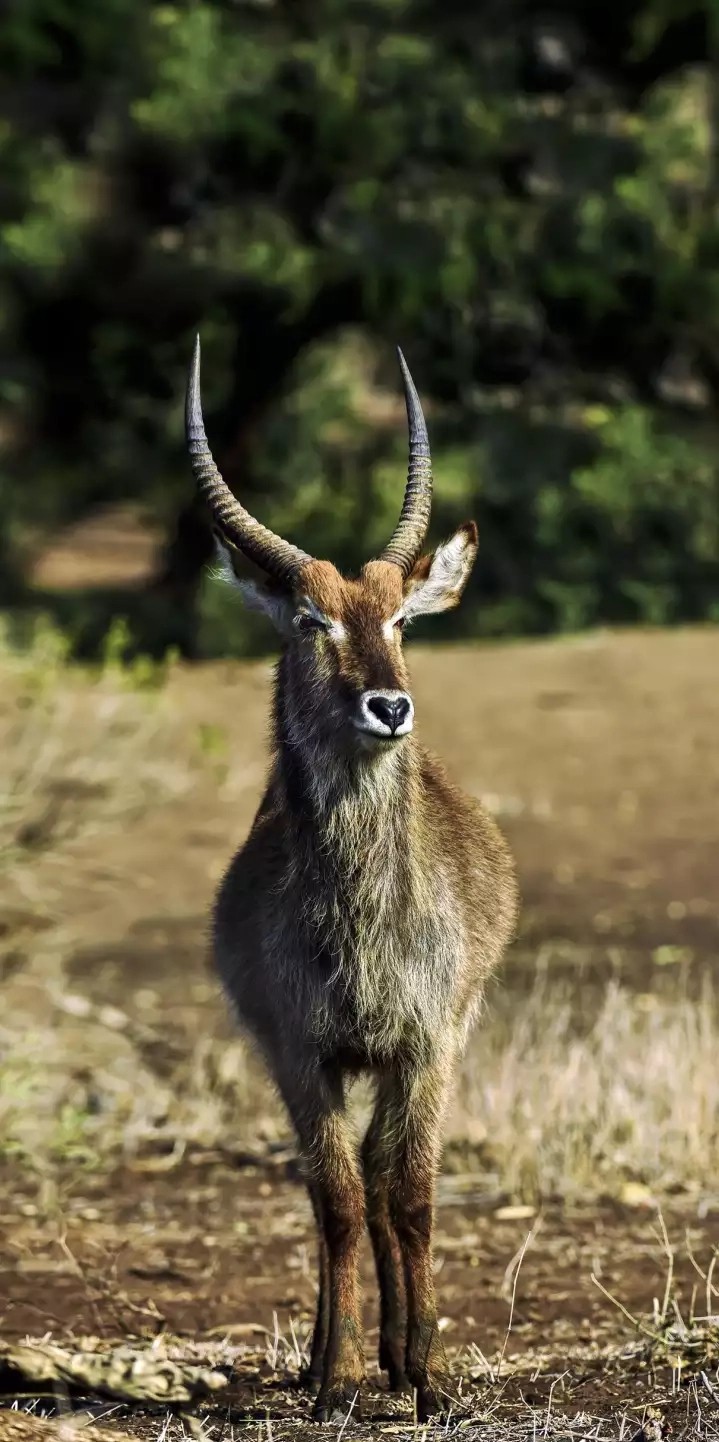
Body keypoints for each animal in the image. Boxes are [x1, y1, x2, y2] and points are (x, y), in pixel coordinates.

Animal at [185, 339, 518, 1422]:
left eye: (402, 618)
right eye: (308, 619)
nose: (389, 706)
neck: (361, 922)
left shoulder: (426, 1040)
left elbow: (407, 1192)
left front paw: (422, 1374)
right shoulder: (300, 1048)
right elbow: (330, 1196)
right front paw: (331, 1378)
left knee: (384, 1177)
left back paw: (402, 1354)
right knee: (343, 1183)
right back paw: (337, 1357)